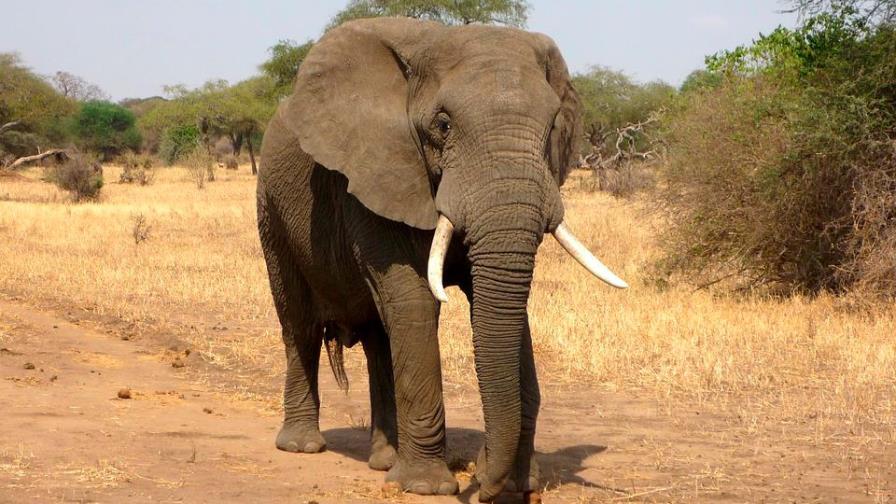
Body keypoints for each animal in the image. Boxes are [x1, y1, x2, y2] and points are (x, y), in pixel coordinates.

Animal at [256, 17, 627, 502]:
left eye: (551, 129)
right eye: (444, 124)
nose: (482, 483)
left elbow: (503, 308)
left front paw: (516, 484)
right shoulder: (378, 172)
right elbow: (415, 301)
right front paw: (426, 487)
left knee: (379, 337)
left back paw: (384, 460)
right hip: (271, 208)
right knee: (298, 322)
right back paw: (302, 446)